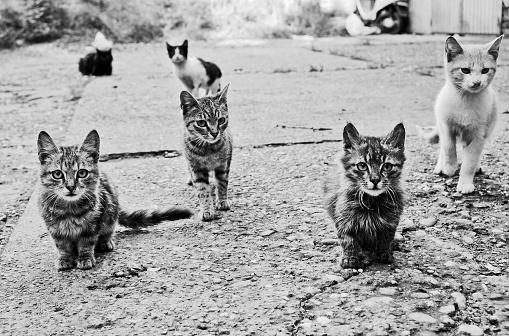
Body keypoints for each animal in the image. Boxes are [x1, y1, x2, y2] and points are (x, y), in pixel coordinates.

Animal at [37, 130, 192, 270]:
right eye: (57, 174)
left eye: (82, 173)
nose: (70, 187)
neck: (70, 208)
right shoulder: (53, 227)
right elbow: (62, 245)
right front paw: (65, 258)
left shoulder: (95, 221)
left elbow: (87, 242)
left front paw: (85, 257)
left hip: (111, 211)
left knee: (108, 230)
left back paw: (105, 242)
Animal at [180, 84, 231, 220]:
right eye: (201, 123)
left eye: (221, 120)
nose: (214, 133)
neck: (209, 150)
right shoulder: (196, 169)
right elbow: (203, 191)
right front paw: (207, 210)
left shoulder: (223, 165)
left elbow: (222, 184)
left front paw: (222, 201)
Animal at [326, 122, 404, 270]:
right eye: (362, 166)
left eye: (387, 166)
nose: (375, 180)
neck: (371, 201)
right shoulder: (343, 218)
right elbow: (348, 239)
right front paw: (350, 258)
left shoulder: (391, 220)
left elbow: (386, 238)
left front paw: (384, 253)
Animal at [416, 35, 504, 193]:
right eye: (465, 70)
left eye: (485, 70)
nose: (477, 82)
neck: (466, 100)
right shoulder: (446, 126)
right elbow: (448, 146)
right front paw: (450, 167)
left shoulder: (479, 135)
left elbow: (470, 161)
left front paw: (465, 183)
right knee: (443, 146)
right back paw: (441, 165)